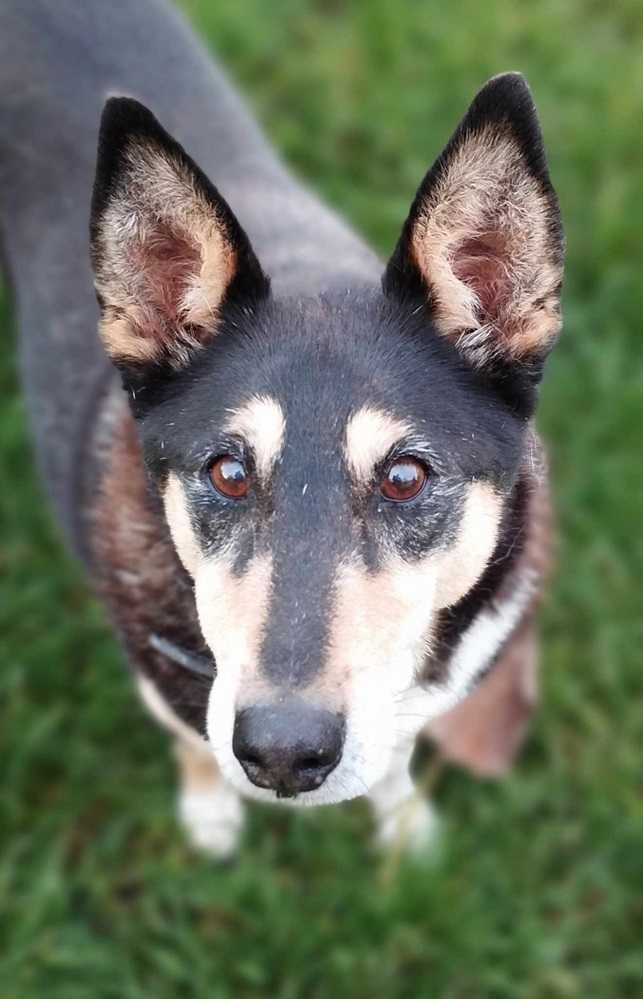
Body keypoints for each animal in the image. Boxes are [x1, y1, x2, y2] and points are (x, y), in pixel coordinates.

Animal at [0, 0, 560, 860]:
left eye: (406, 477)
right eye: (227, 473)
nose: (283, 754)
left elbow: (396, 753)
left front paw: (404, 828)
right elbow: (192, 743)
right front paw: (209, 814)